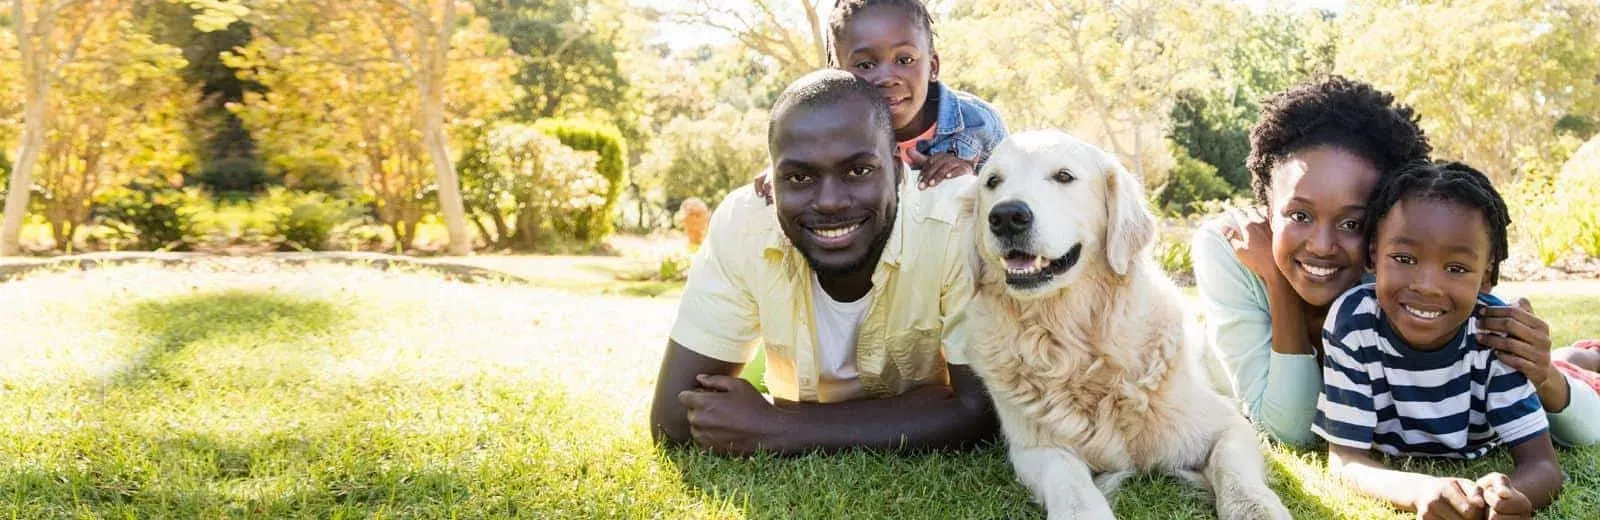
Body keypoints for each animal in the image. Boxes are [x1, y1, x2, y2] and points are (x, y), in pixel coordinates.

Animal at [960, 130, 1286, 518]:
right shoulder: (1035, 449)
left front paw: (1257, 507)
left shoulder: (1228, 425)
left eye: (1064, 176)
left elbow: (1235, 472)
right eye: (993, 182)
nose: (1007, 216)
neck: (1077, 350)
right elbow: (1068, 481)